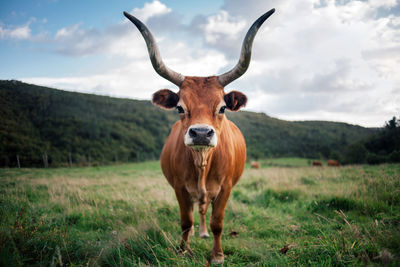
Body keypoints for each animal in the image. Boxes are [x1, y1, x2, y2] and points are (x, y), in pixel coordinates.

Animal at [124, 8, 276, 266]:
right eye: (179, 108)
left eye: (223, 108)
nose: (202, 133)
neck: (202, 162)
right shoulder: (179, 188)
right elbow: (186, 221)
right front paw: (183, 249)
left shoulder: (225, 188)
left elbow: (217, 222)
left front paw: (217, 254)